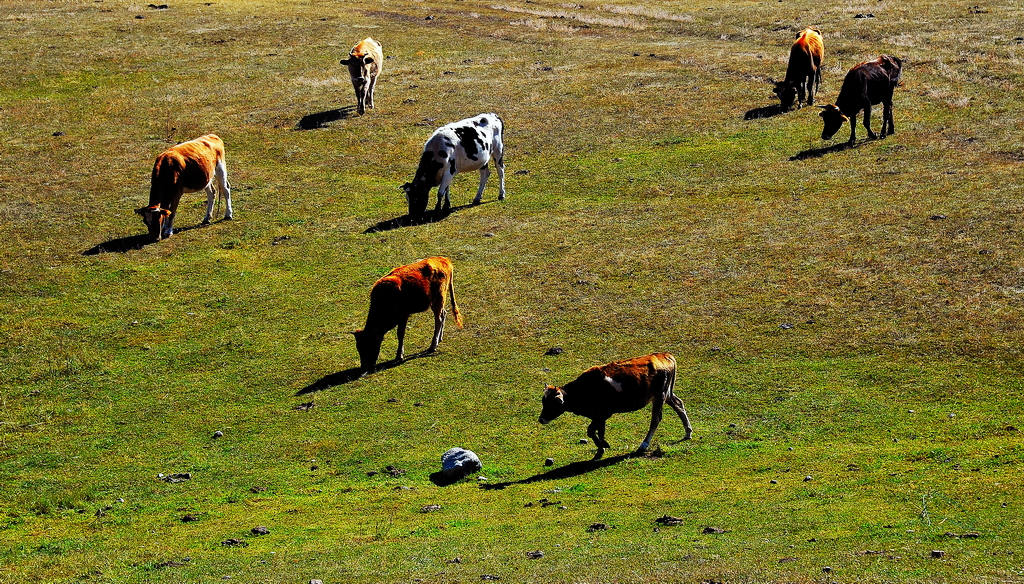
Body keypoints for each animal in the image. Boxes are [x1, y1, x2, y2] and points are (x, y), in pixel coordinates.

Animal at [536, 352, 696, 456]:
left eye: (554, 403)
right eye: (543, 401)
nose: (541, 419)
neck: (584, 389)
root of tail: (665, 355)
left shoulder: (602, 414)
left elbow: (592, 430)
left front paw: (603, 446)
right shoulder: (598, 416)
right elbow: (597, 431)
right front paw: (601, 447)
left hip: (660, 396)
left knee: (656, 419)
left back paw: (643, 445)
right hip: (667, 394)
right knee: (679, 404)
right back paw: (688, 432)